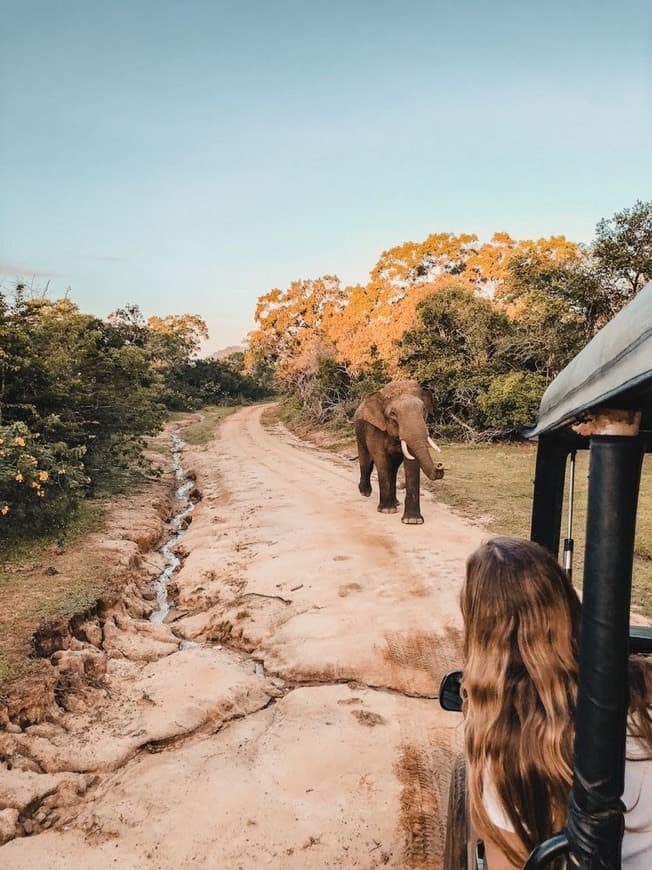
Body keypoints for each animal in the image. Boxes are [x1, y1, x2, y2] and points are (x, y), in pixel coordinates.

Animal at [356, 380, 444, 524]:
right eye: (393, 414)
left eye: (424, 410)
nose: (440, 465)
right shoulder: (374, 428)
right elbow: (381, 460)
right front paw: (387, 511)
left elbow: (411, 463)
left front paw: (412, 521)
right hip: (359, 432)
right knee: (366, 461)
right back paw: (365, 492)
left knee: (394, 468)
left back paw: (396, 502)